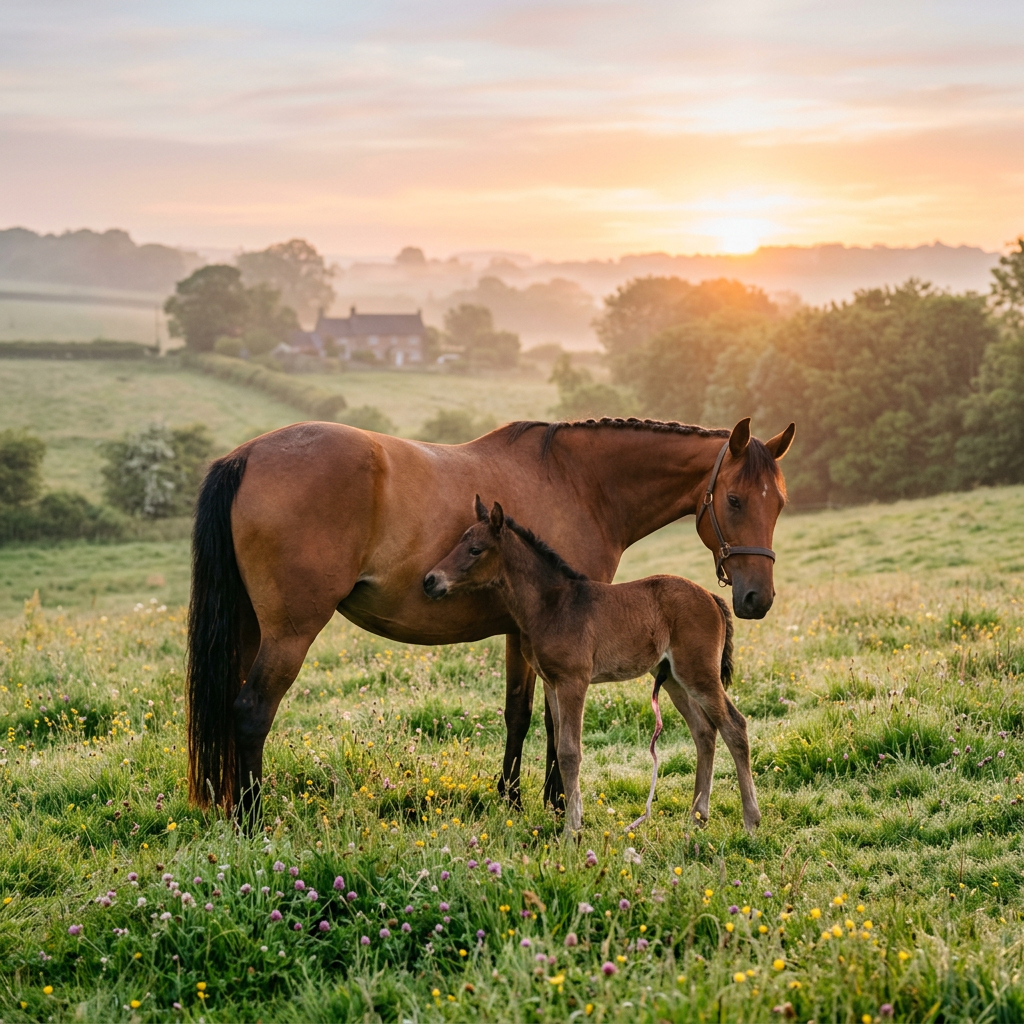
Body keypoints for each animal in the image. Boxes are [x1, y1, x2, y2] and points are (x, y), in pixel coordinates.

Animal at [424, 498, 758, 836]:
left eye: (475, 549)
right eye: (460, 541)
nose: (430, 581)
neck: (552, 605)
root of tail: (712, 596)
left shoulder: (573, 681)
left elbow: (570, 752)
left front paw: (572, 829)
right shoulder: (551, 682)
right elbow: (560, 744)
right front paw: (568, 818)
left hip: (698, 673)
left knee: (734, 725)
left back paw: (750, 819)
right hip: (673, 678)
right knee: (704, 731)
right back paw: (697, 817)